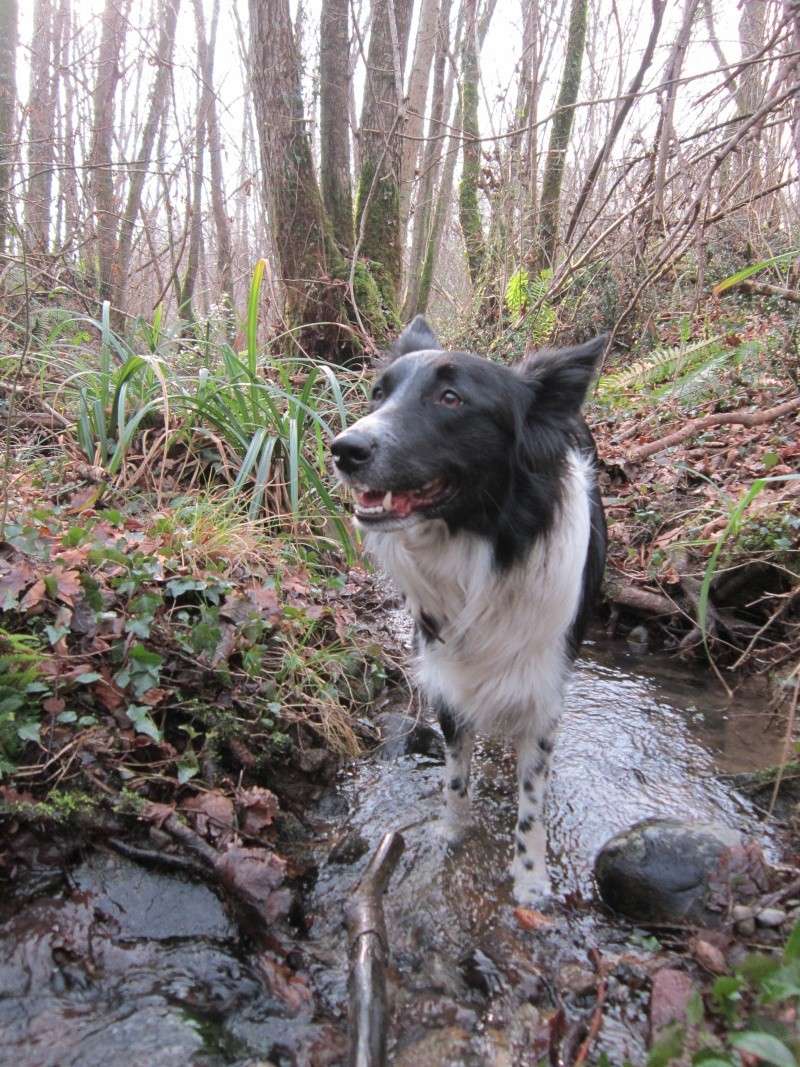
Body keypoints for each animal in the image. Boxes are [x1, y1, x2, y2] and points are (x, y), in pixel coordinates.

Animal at [332, 313, 605, 900]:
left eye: (451, 399)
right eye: (378, 393)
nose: (344, 449)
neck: (481, 549)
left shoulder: (543, 689)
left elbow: (531, 800)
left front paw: (530, 880)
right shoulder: (449, 678)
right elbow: (456, 777)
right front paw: (450, 836)